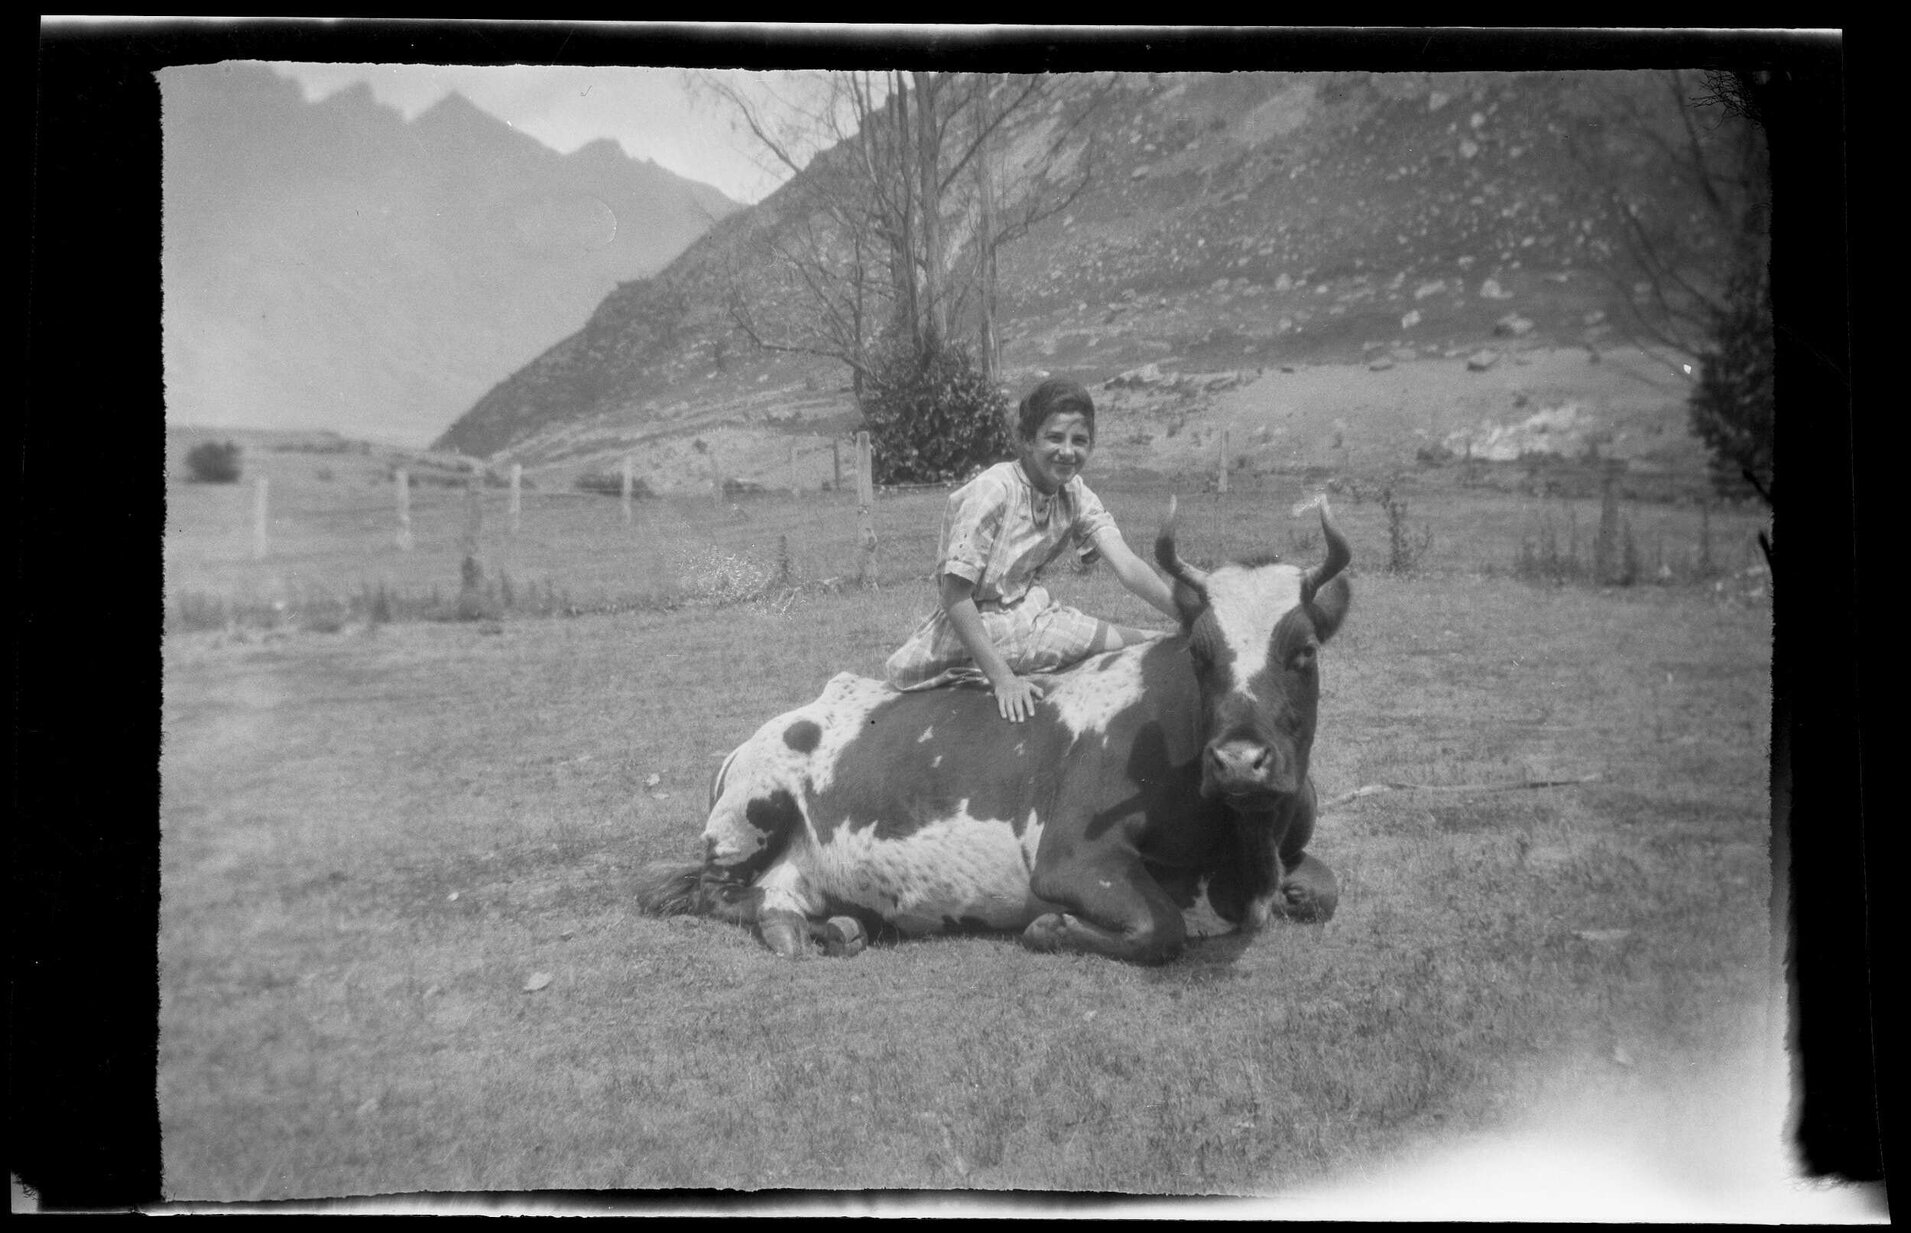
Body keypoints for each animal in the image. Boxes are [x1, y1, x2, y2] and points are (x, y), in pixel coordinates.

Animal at [636, 499, 1352, 964]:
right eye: (1201, 654)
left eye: (1305, 651)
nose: (1240, 761)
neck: (1244, 846)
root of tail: (753, 738)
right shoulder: (1072, 859)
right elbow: (1163, 928)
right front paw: (1051, 931)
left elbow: (1324, 890)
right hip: (749, 818)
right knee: (718, 893)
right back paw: (795, 925)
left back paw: (832, 927)